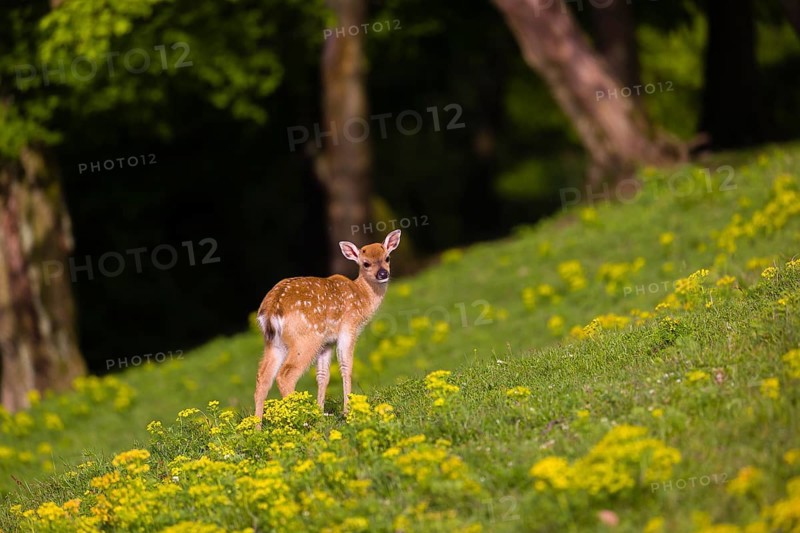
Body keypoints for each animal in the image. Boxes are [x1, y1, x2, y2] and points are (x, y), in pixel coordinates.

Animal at [253, 229, 401, 427]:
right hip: (306, 339)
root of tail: (271, 308)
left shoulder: (327, 342)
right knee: (285, 375)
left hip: (274, 342)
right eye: (366, 263)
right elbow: (347, 367)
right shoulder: (348, 328)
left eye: (387, 258)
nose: (383, 273)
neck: (361, 297)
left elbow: (323, 375)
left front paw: (321, 413)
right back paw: (303, 422)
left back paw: (257, 427)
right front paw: (347, 411)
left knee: (263, 377)